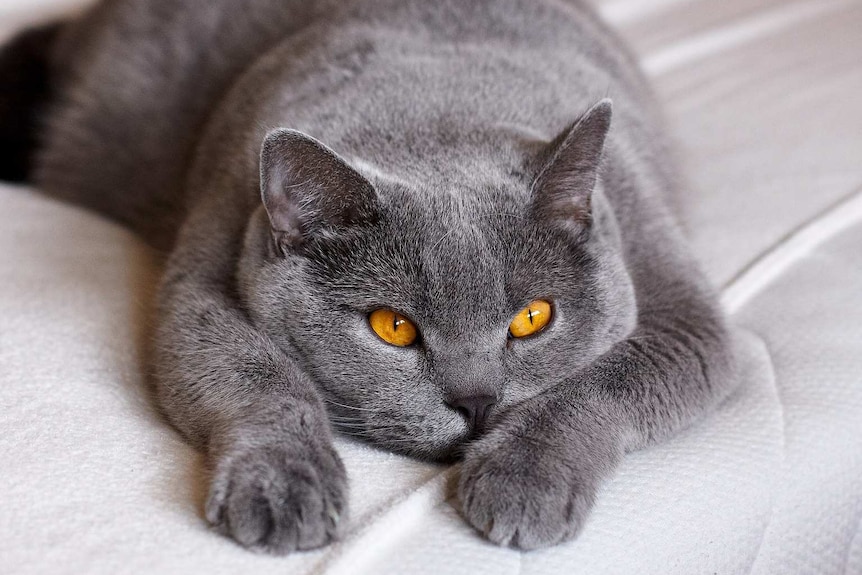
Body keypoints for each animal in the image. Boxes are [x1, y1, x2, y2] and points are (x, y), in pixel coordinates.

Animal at [1, 0, 736, 556]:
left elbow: (604, 380)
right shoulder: (201, 281)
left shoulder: (680, 306)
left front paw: (523, 478)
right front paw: (284, 486)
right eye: (394, 327)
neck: (439, 113)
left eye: (533, 317)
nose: (478, 402)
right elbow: (253, 372)